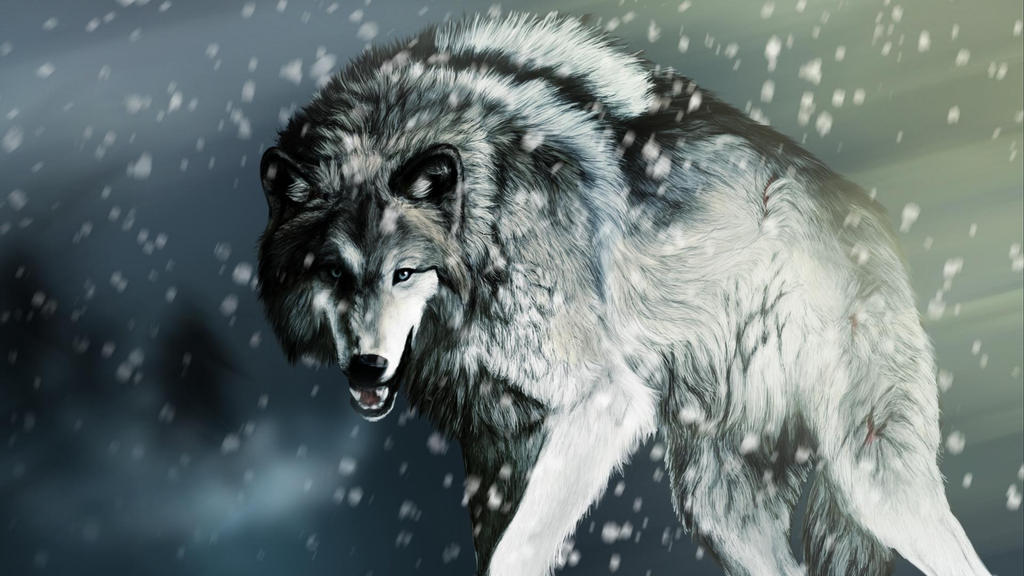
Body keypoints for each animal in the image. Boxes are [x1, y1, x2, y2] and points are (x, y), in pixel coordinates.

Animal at [255, 12, 990, 576]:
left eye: (405, 273)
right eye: (333, 273)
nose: (367, 367)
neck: (488, 214)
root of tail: (867, 209)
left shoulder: (601, 401)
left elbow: (517, 551)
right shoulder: (495, 451)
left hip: (871, 480)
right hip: (715, 507)